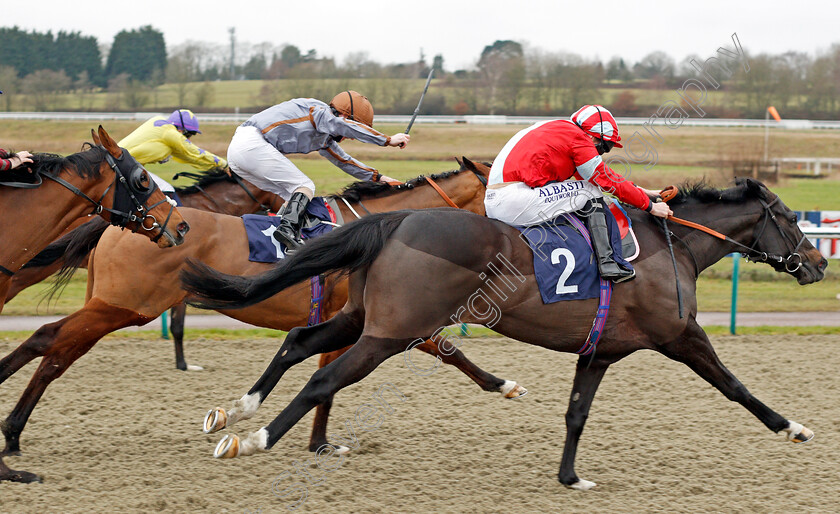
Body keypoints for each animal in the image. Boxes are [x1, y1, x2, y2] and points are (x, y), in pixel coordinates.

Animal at [0, 159, 520, 480]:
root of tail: (122, 222)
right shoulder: (383, 318)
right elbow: (442, 350)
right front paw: (504, 385)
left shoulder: (363, 317)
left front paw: (316, 441)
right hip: (123, 306)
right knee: (50, 341)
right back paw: (12, 432)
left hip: (112, 306)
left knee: (56, 350)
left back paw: (13, 432)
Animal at [182, 176, 828, 488]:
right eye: (790, 219)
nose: (819, 263)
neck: (674, 248)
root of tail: (396, 220)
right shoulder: (680, 336)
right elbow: (736, 387)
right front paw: (793, 427)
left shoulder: (600, 352)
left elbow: (576, 413)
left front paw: (570, 477)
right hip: (391, 333)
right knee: (326, 379)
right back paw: (255, 438)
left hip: (365, 317)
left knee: (299, 344)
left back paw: (235, 412)